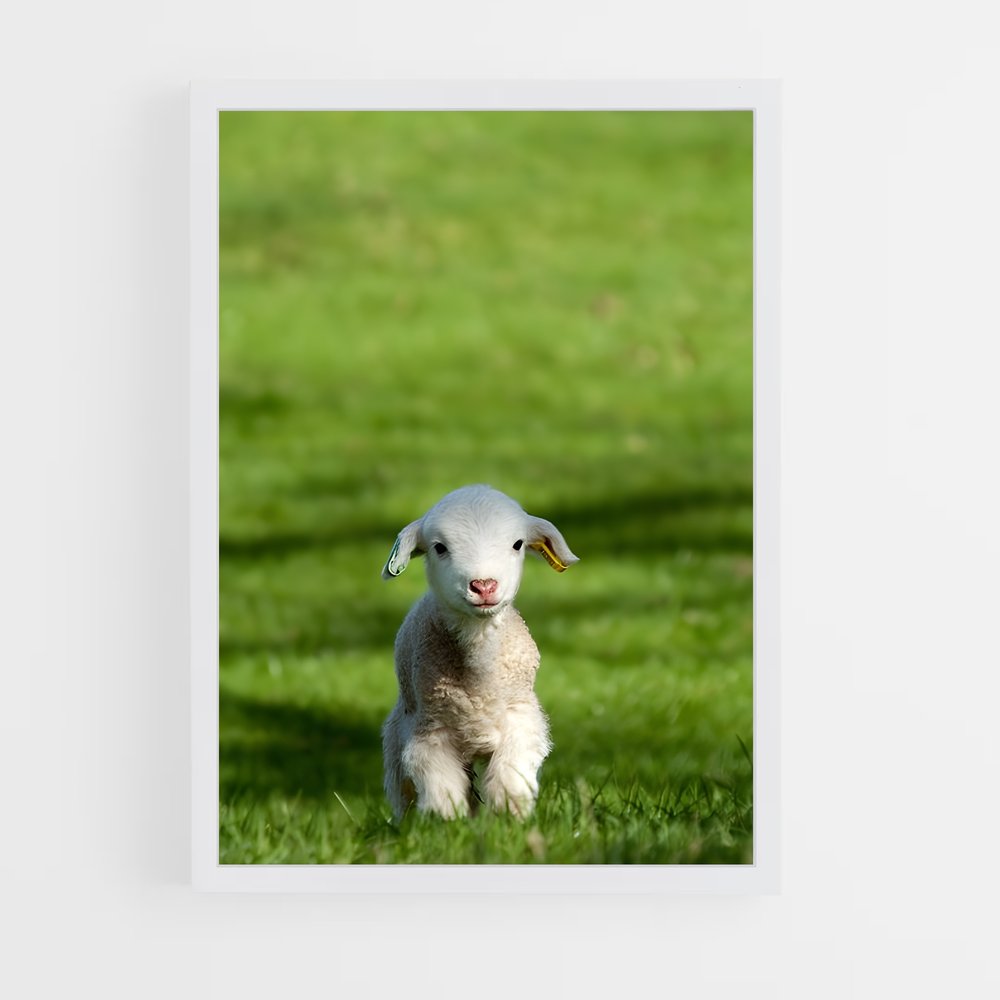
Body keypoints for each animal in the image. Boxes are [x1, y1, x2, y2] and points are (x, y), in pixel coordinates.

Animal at [380, 484, 579, 820]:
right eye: (439, 547)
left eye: (517, 544)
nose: (484, 585)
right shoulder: (430, 732)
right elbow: (442, 790)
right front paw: (449, 823)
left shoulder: (520, 719)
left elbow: (511, 777)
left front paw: (510, 817)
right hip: (399, 732)